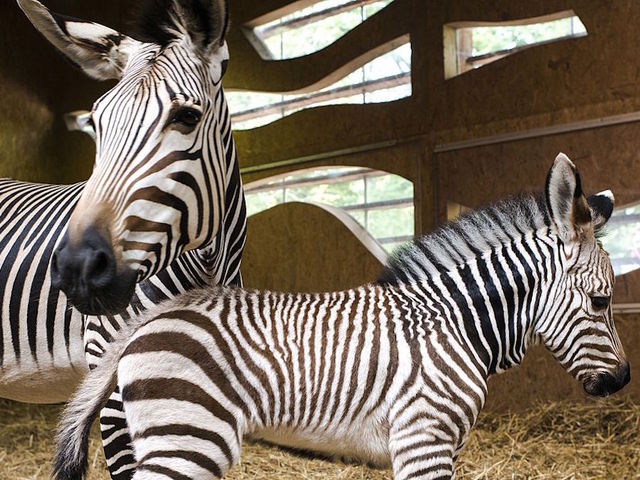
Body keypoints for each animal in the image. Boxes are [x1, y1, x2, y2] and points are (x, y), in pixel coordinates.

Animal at [54, 154, 629, 480]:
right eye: (601, 302)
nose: (623, 380)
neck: (454, 323)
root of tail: (145, 322)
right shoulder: (424, 437)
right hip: (186, 435)